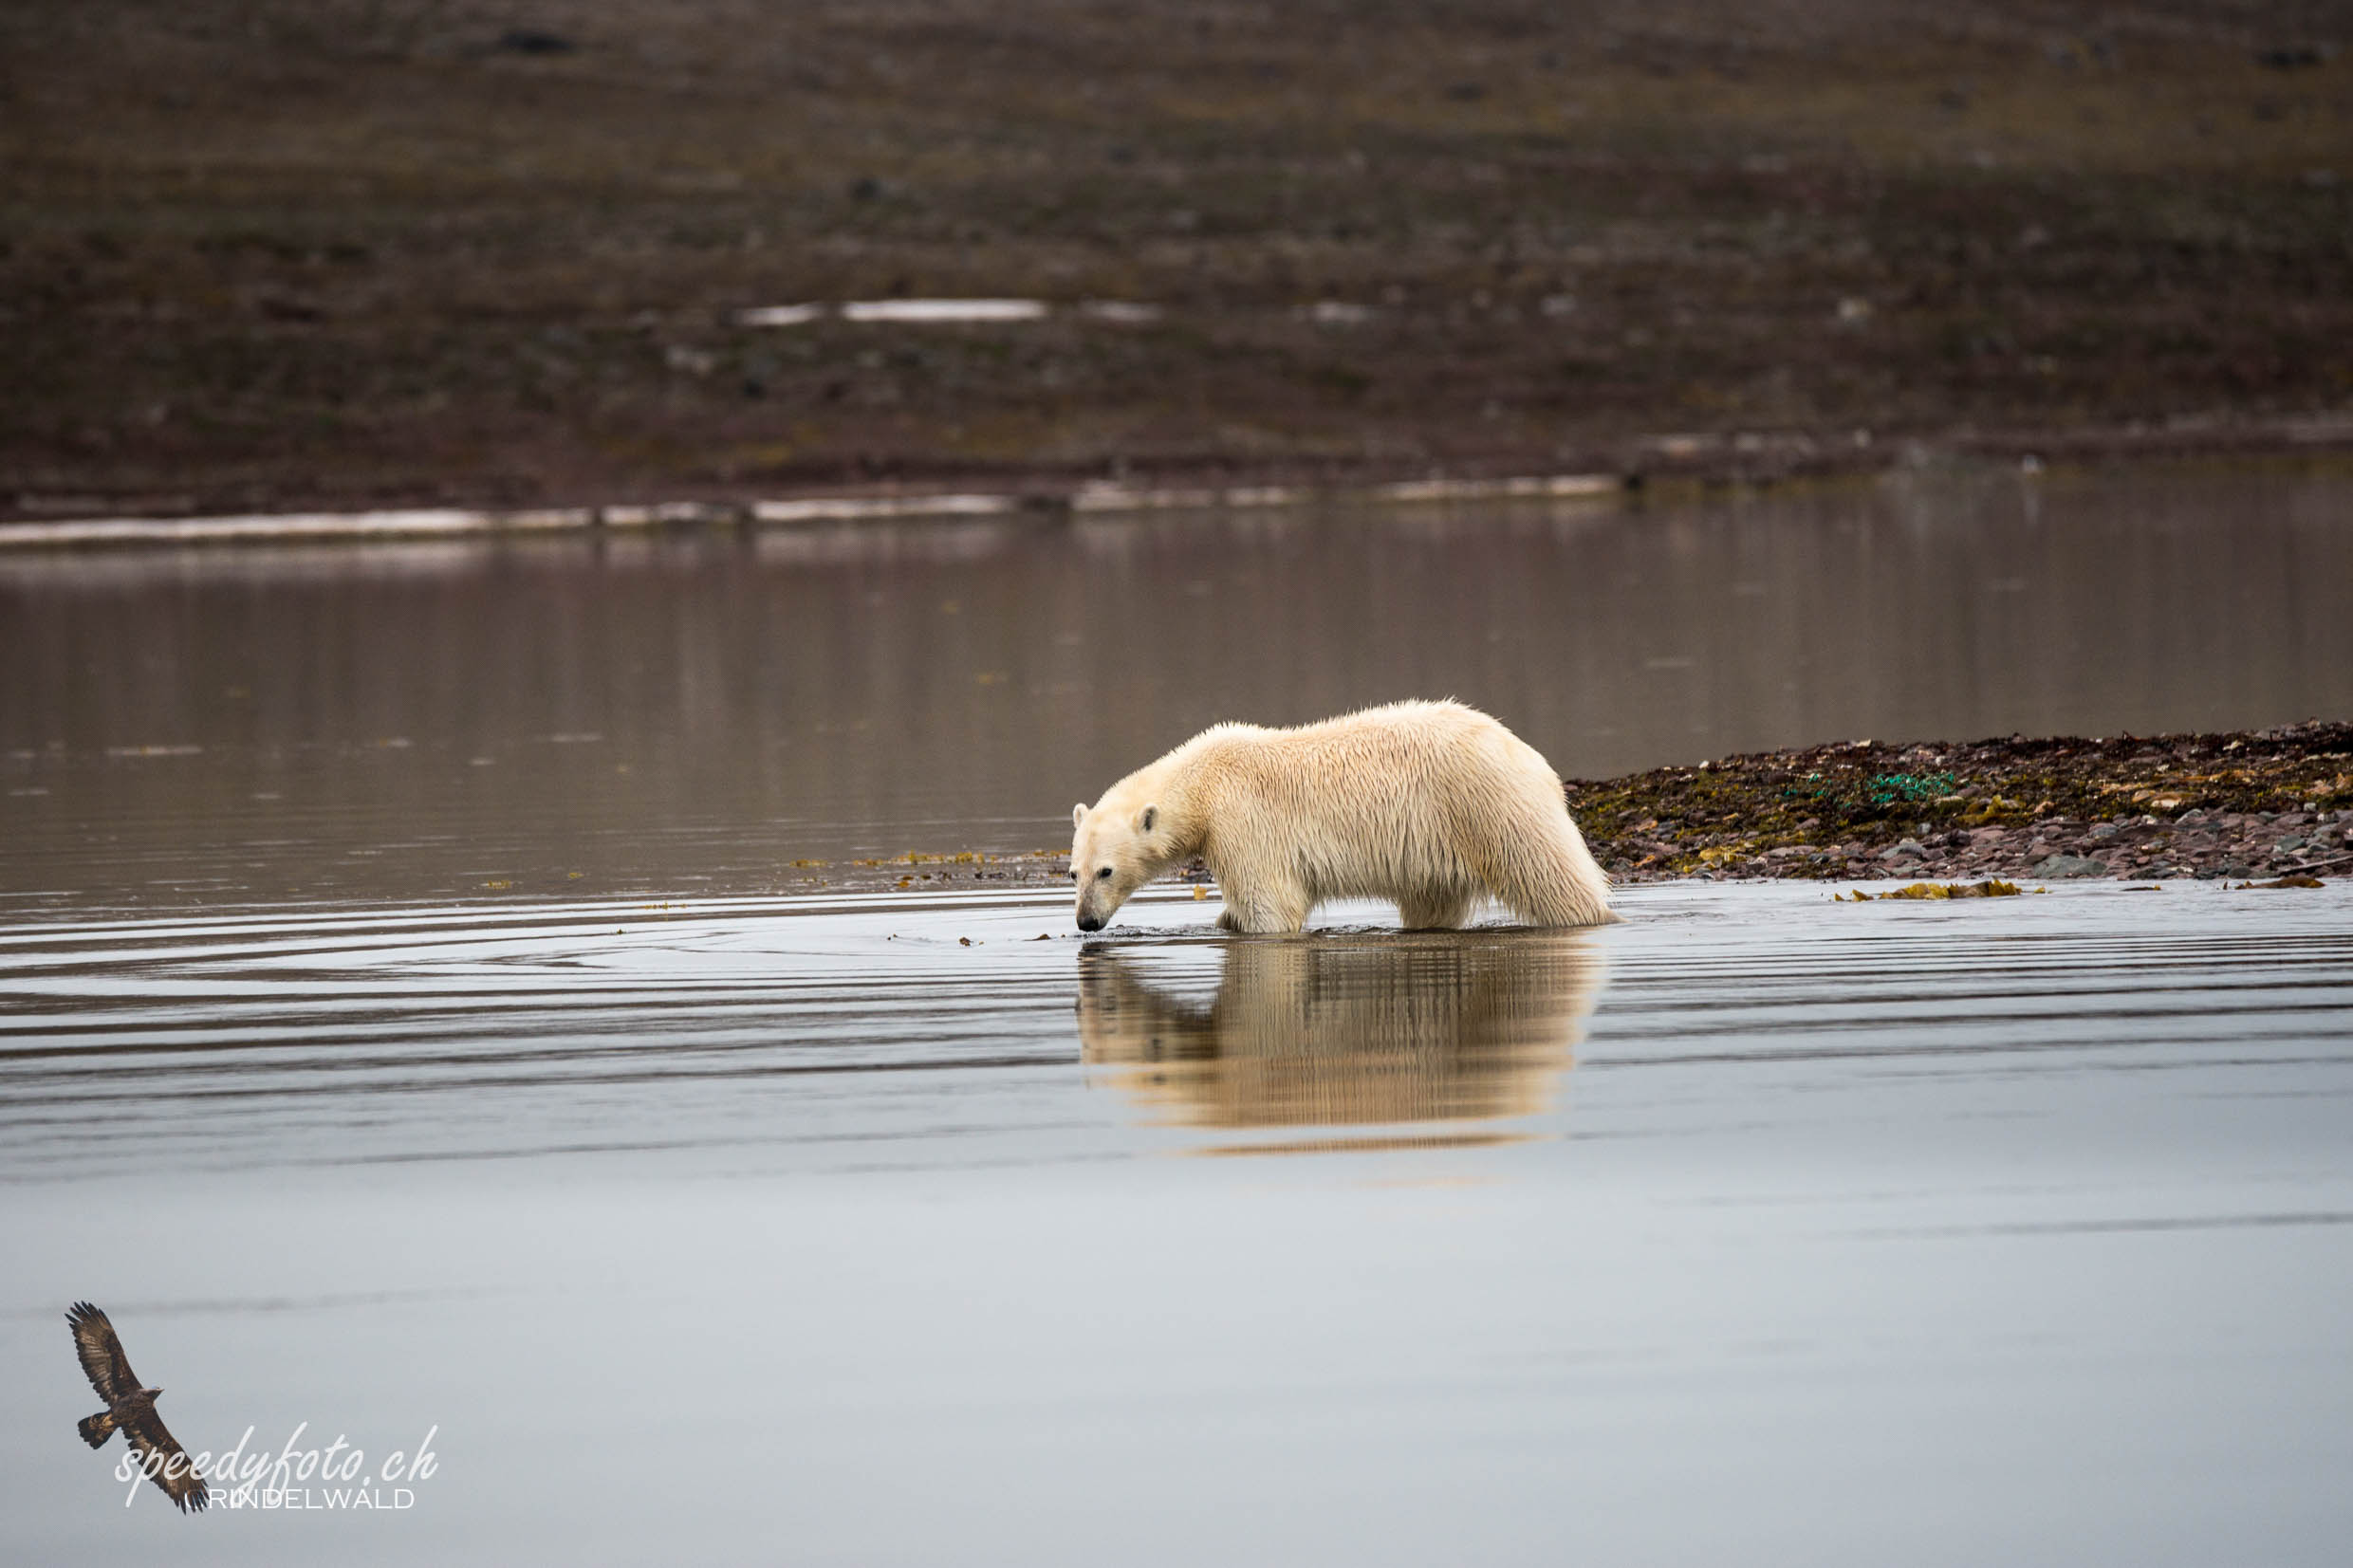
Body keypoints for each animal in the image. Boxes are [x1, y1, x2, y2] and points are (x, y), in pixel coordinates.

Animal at [1072, 700, 1609, 931]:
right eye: (1075, 872)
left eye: (1107, 871)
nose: (1086, 922)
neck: (1203, 779)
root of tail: (1530, 756)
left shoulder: (1242, 825)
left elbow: (1272, 907)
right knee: (1432, 902)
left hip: (1491, 807)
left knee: (1555, 882)